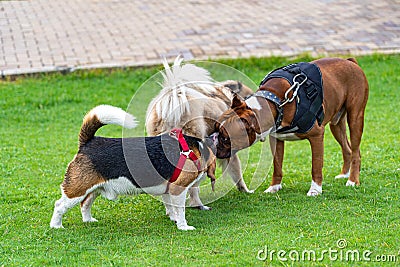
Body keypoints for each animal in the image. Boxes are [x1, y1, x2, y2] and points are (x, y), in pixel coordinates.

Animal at [212, 58, 368, 197]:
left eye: (225, 138)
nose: (211, 140)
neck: (276, 102)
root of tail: (350, 61)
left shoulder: (317, 136)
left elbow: (316, 165)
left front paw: (315, 190)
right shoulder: (276, 139)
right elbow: (277, 165)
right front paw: (274, 187)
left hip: (355, 119)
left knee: (355, 152)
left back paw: (352, 180)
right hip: (336, 125)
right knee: (348, 149)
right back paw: (344, 174)